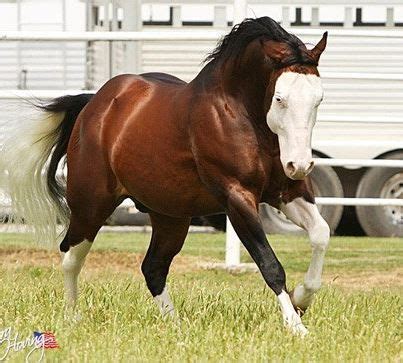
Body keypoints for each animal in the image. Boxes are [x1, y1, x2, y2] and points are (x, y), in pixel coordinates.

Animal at [1, 16, 330, 336]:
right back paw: (71, 318)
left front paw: (302, 298)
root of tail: (93, 106)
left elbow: (321, 234)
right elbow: (270, 264)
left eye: (318, 100)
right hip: (91, 205)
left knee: (153, 268)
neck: (238, 114)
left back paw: (176, 326)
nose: (299, 165)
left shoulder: (287, 191)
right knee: (70, 255)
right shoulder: (237, 197)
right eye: (280, 98)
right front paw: (297, 326)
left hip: (169, 216)